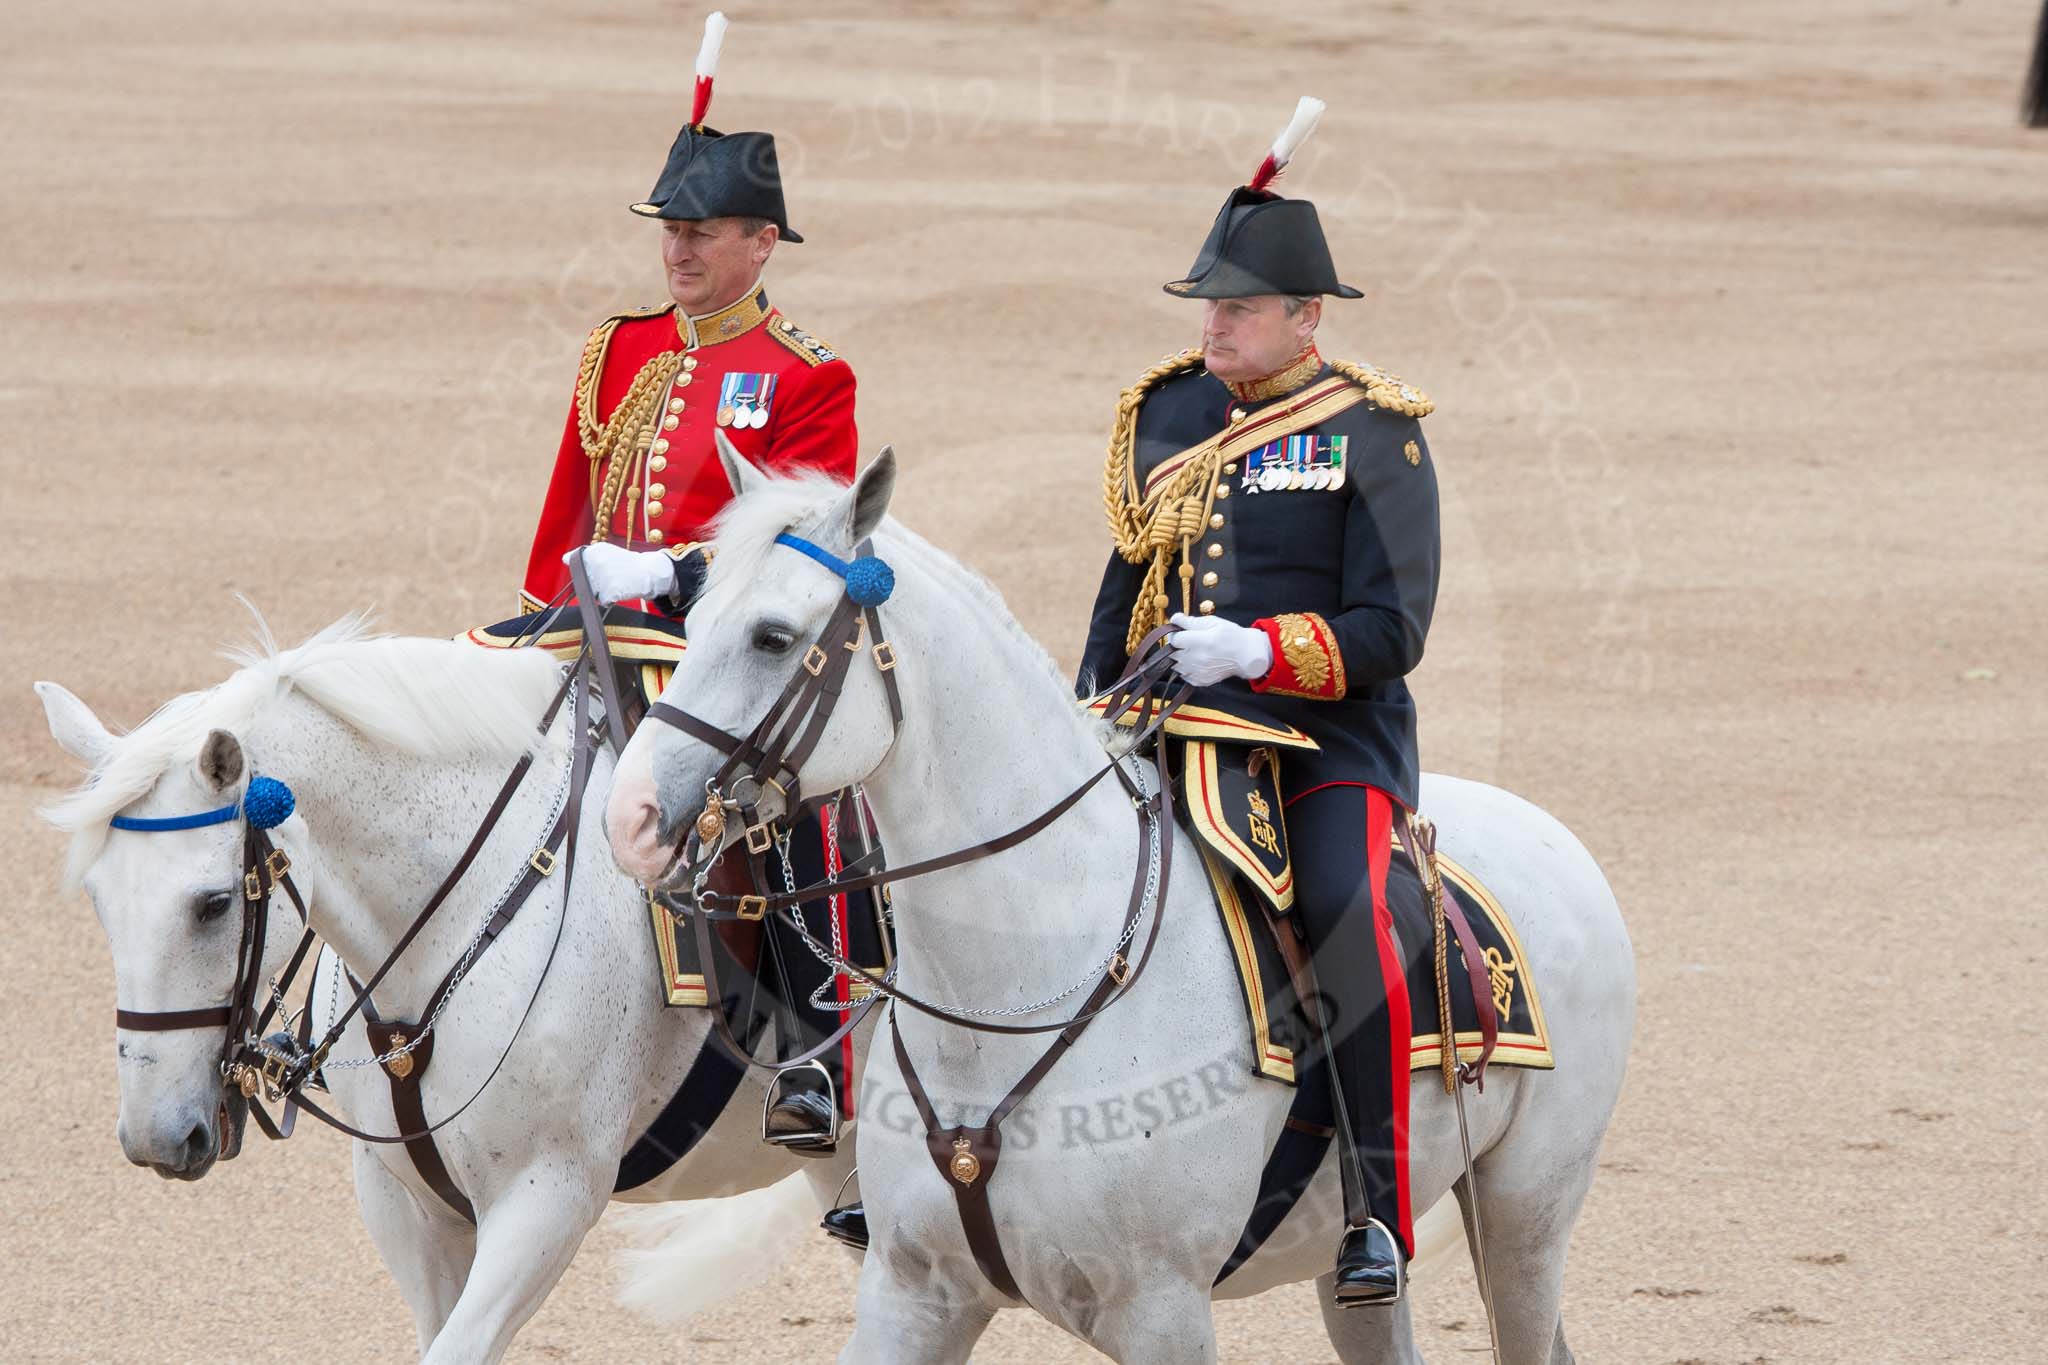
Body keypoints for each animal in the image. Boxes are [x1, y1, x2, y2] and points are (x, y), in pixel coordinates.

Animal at [602, 448, 1630, 1365]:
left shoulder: (1160, 1311)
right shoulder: (912, 1292)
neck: (1012, 986)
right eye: (690, 616)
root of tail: (1549, 833)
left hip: (1524, 1221)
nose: (630, 816)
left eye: (773, 635)